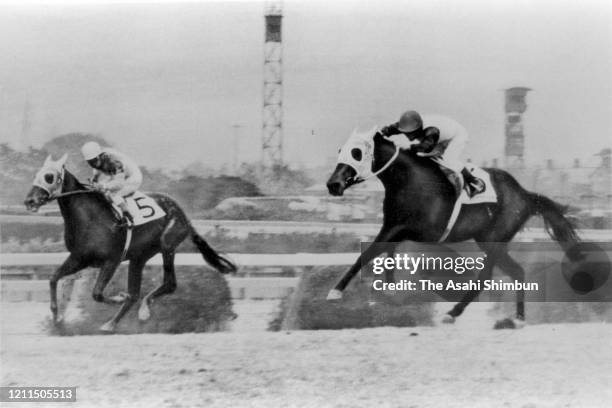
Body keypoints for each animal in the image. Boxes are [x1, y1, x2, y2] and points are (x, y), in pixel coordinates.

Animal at [23, 155, 235, 332]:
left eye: (49, 176)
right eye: (36, 174)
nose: (29, 201)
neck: (89, 217)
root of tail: (184, 216)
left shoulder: (112, 260)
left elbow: (97, 293)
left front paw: (118, 297)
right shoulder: (79, 258)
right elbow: (53, 279)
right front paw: (56, 317)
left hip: (167, 246)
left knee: (169, 283)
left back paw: (142, 311)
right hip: (139, 257)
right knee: (135, 294)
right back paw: (112, 323)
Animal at [326, 129, 580, 326]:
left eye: (356, 153)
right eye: (339, 150)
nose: (332, 184)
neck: (408, 179)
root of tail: (524, 194)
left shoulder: (415, 229)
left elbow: (369, 253)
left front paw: (335, 291)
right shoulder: (393, 225)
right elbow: (384, 250)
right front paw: (389, 286)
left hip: (495, 240)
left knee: (486, 276)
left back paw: (452, 313)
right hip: (489, 240)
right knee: (518, 271)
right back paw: (518, 319)